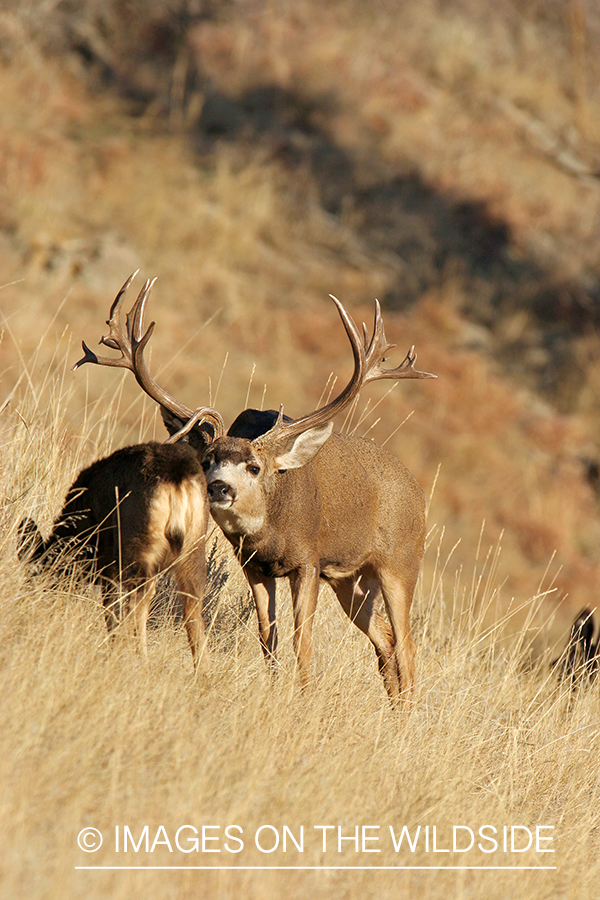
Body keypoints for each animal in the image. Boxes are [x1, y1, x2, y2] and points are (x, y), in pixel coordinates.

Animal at [18, 273, 224, 670]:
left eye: (39, 572)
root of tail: (177, 476)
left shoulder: (106, 559)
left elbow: (114, 615)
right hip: (194, 548)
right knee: (193, 617)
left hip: (136, 544)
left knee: (136, 610)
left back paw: (134, 659)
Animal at [73, 273, 435, 705]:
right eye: (206, 460)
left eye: (254, 466)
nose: (219, 488)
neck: (271, 532)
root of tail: (417, 492)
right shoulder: (253, 564)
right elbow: (267, 635)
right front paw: (275, 688)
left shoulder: (308, 559)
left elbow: (302, 639)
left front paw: (304, 697)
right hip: (350, 579)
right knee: (385, 641)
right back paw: (394, 709)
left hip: (400, 562)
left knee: (407, 644)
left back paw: (408, 712)